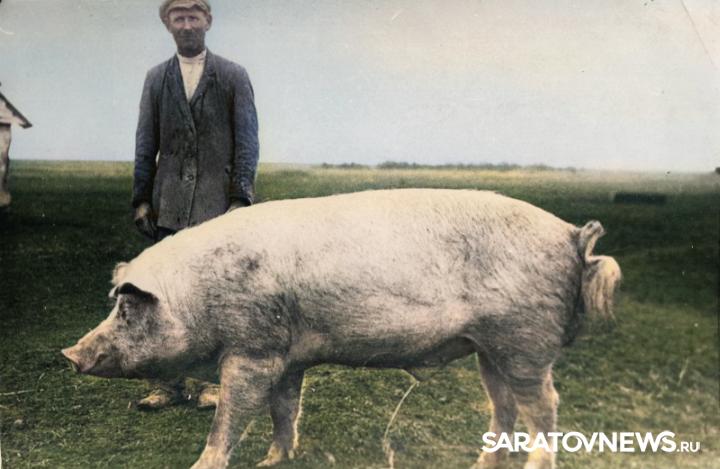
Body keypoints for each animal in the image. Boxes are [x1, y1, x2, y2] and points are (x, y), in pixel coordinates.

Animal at [62, 188, 621, 469]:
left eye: (127, 310)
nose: (70, 353)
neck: (199, 297)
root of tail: (572, 235)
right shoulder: (288, 356)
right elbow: (285, 408)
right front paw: (274, 460)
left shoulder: (253, 350)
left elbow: (231, 414)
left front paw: (207, 464)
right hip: (491, 349)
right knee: (503, 407)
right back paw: (481, 464)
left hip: (525, 341)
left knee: (544, 407)